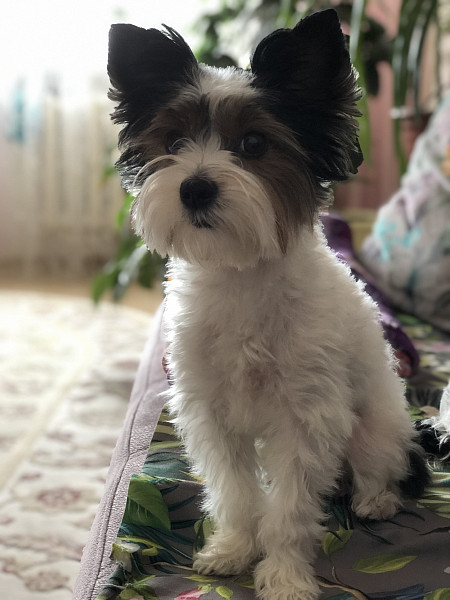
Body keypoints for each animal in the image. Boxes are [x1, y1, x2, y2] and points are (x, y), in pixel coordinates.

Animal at [107, 10, 430, 599]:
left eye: (254, 143)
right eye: (174, 139)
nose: (194, 188)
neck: (241, 274)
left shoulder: (306, 419)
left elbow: (290, 509)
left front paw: (284, 576)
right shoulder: (211, 413)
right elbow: (236, 493)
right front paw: (234, 549)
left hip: (374, 425)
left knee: (381, 464)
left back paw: (376, 499)